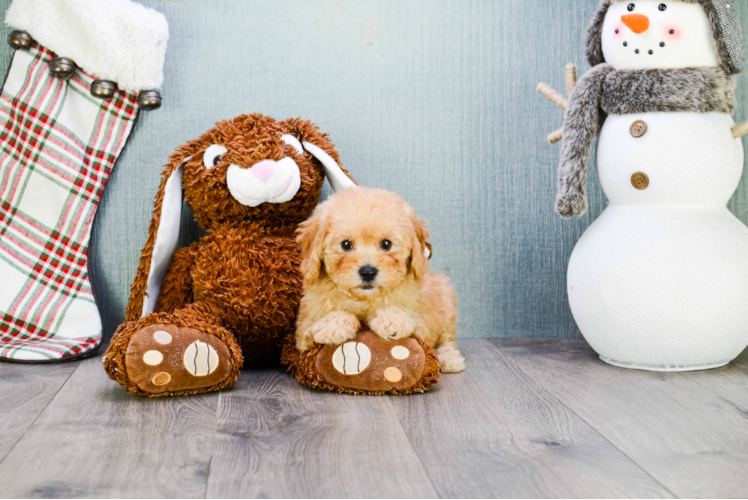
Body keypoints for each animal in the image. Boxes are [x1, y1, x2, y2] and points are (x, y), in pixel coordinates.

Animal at [296, 187, 464, 372]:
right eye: (346, 244)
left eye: (386, 244)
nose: (368, 272)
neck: (363, 299)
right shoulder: (303, 331)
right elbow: (314, 328)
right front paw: (334, 325)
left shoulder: (422, 324)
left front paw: (392, 320)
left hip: (445, 298)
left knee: (447, 339)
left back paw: (450, 359)